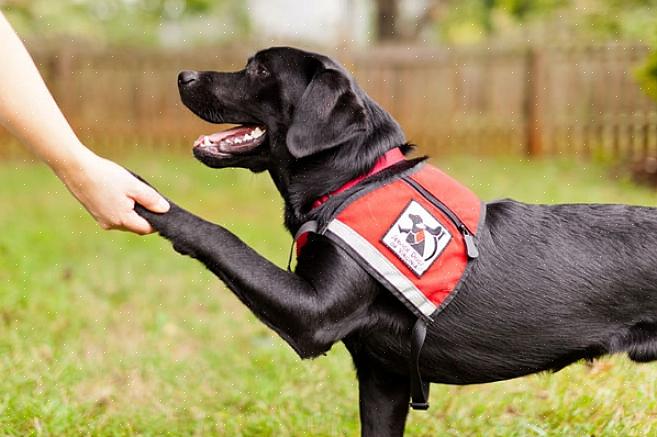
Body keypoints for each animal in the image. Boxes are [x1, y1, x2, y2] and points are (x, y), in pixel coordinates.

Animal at [135, 46, 657, 434]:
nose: (182, 75)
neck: (353, 180)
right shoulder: (383, 376)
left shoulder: (313, 314)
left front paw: (145, 198)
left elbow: (222, 236)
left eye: (260, 69)